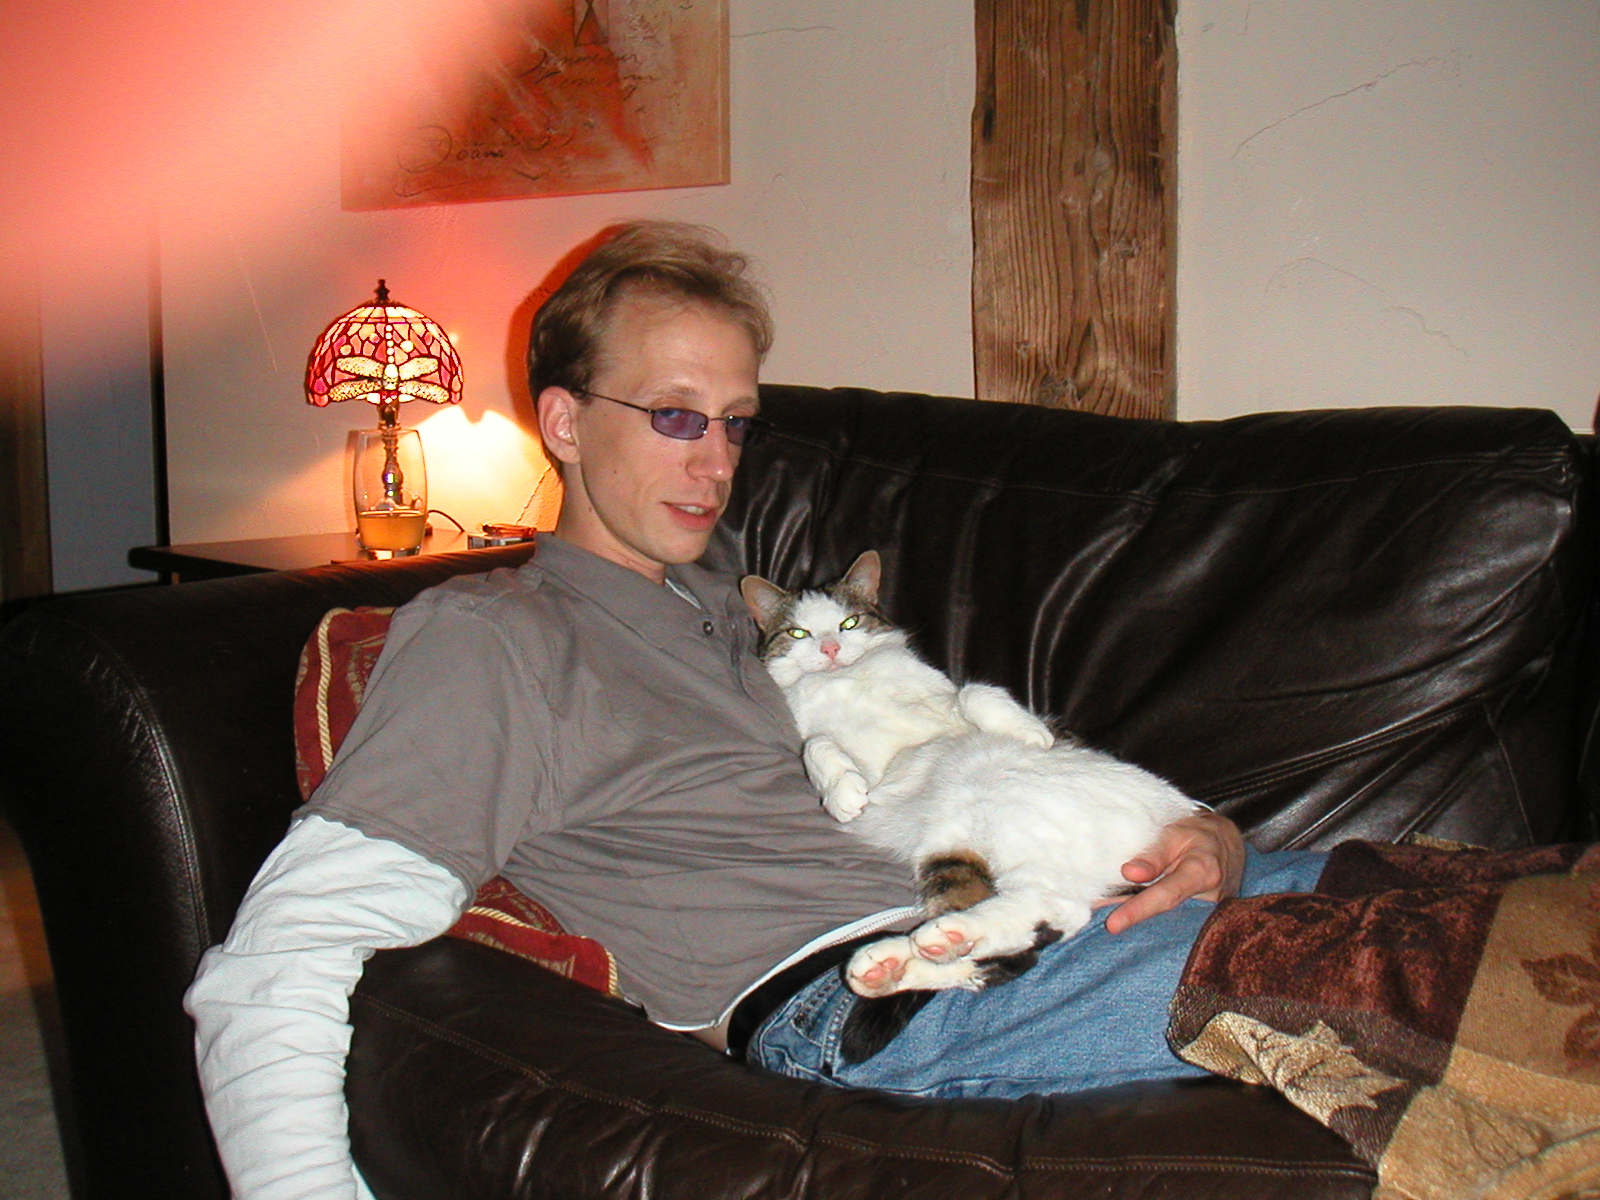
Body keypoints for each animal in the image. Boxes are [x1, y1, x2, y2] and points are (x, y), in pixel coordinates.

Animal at [740, 550, 1200, 1062]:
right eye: (798, 633)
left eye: (849, 622)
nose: (830, 650)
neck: (846, 681)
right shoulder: (810, 729)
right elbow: (817, 744)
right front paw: (842, 792)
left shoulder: (943, 695)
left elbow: (973, 690)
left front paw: (1029, 730)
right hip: (953, 851)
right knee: (1043, 922)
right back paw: (900, 960)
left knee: (1048, 909)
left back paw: (935, 941)